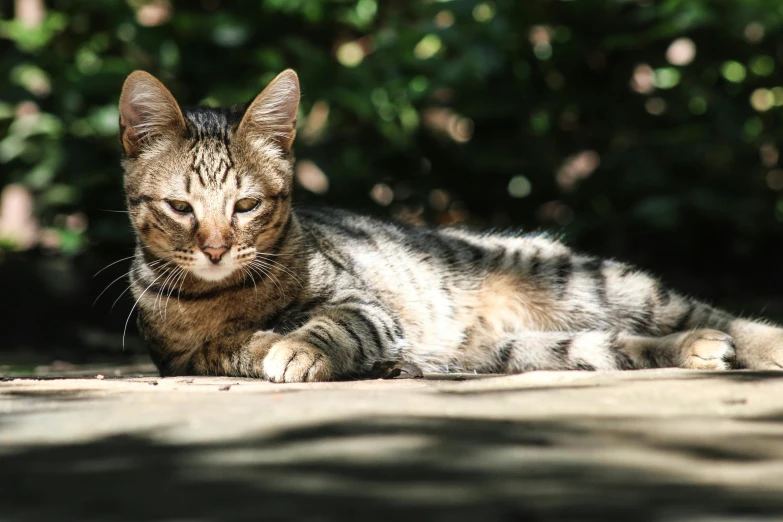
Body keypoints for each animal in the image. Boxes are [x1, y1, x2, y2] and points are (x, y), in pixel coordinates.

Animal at [119, 68, 783, 382]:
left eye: (246, 206)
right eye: (182, 208)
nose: (214, 248)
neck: (229, 296)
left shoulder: (364, 306)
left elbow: (330, 324)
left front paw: (302, 346)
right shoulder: (184, 357)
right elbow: (233, 347)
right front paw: (267, 343)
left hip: (591, 282)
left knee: (704, 312)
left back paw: (753, 342)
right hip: (526, 348)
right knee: (620, 345)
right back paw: (698, 350)